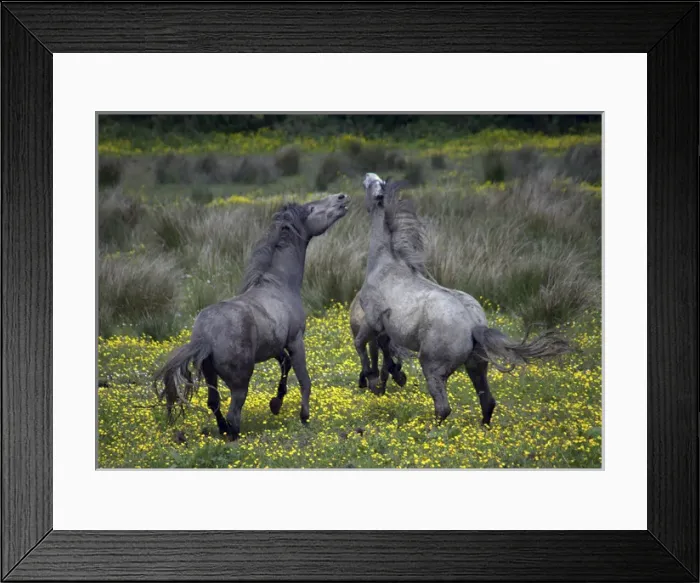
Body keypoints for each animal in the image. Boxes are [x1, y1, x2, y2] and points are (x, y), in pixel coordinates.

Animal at [153, 193, 350, 440]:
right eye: (312, 208)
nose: (342, 198)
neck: (279, 285)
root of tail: (205, 336)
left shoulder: (275, 347)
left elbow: (285, 366)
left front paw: (275, 403)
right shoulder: (295, 341)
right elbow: (304, 379)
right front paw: (304, 416)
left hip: (210, 375)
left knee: (214, 403)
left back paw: (223, 431)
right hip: (240, 382)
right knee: (233, 413)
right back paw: (233, 435)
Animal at [355, 173, 570, 425]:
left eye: (371, 184)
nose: (366, 175)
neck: (385, 264)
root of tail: (473, 326)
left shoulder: (372, 320)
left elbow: (362, 345)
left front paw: (370, 379)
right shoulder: (385, 327)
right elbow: (384, 347)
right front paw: (391, 376)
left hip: (433, 368)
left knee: (443, 408)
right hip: (476, 365)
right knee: (487, 401)